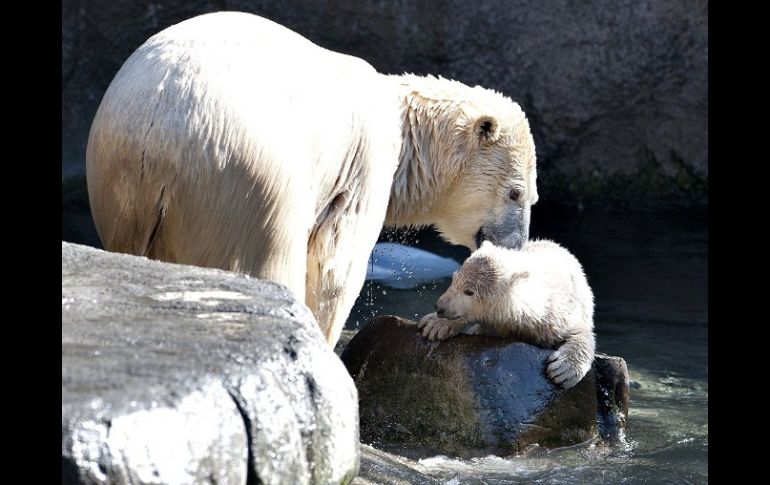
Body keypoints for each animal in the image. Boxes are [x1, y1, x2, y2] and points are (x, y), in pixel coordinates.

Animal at [87, 10, 536, 344]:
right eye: (516, 193)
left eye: (530, 198)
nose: (516, 246)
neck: (406, 130)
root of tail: (160, 135)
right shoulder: (365, 164)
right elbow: (338, 264)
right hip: (246, 182)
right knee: (265, 259)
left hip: (116, 180)